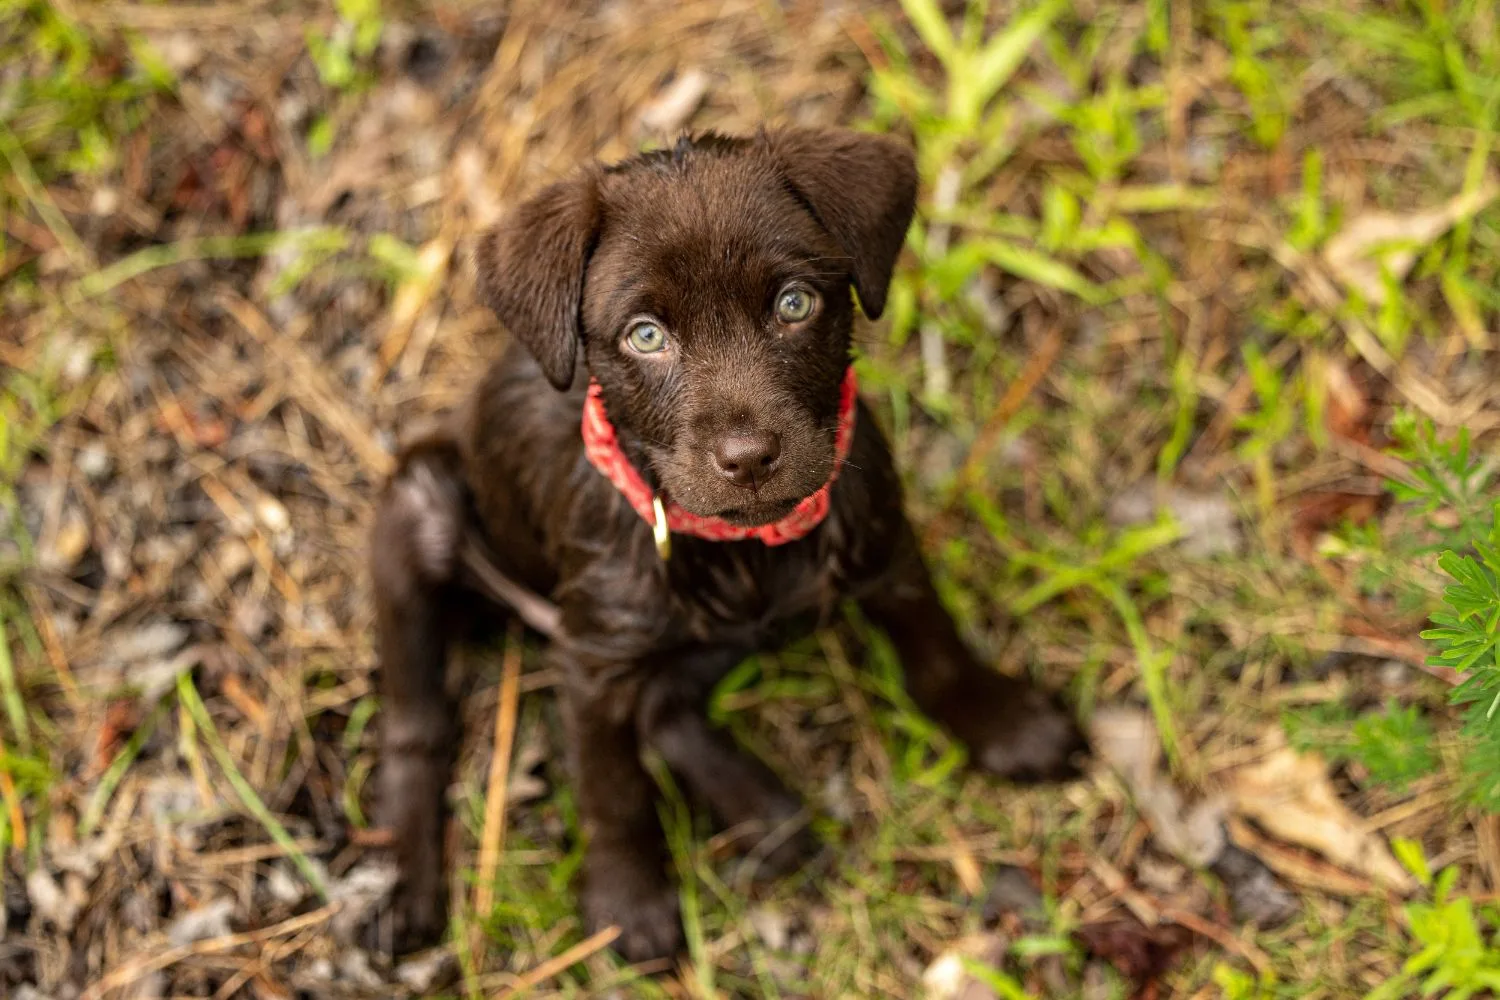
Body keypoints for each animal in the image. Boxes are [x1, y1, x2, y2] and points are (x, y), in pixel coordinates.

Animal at [369, 125, 1086, 959]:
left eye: (794, 303)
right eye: (646, 336)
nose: (747, 459)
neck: (744, 547)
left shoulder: (884, 545)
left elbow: (934, 643)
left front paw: (1001, 721)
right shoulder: (596, 661)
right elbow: (612, 790)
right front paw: (629, 899)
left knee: (666, 707)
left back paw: (765, 815)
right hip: (419, 510)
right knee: (415, 729)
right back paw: (407, 882)